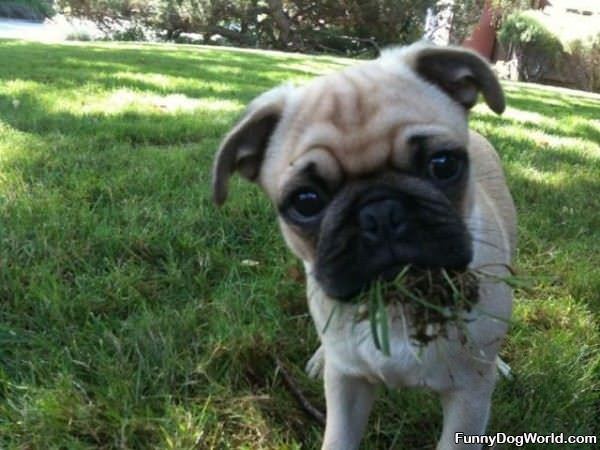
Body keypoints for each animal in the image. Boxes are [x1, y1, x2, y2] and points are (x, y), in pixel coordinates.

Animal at [211, 43, 516, 450]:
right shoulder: (347, 389)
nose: (380, 211)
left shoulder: (468, 400)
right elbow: (338, 436)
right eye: (305, 201)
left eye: (443, 164)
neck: (397, 304)